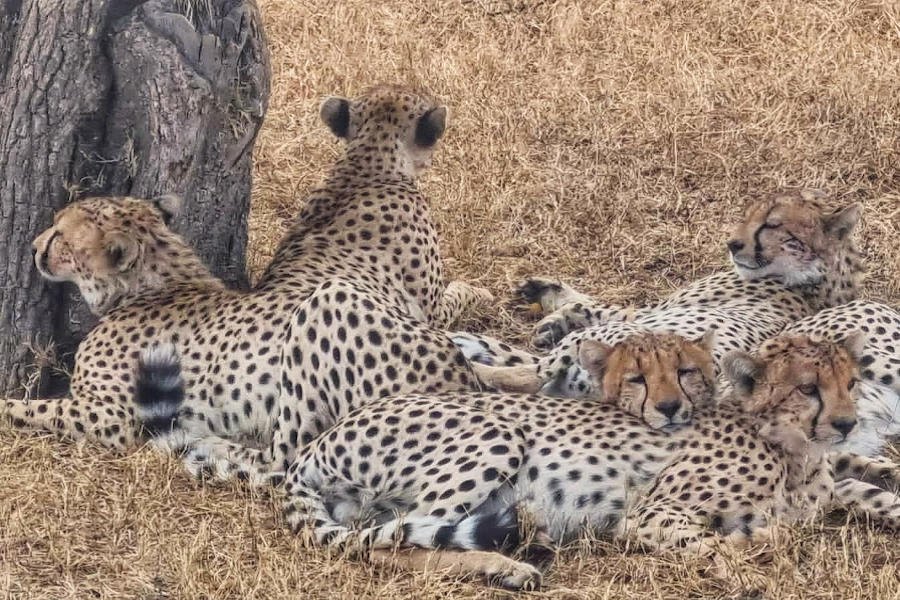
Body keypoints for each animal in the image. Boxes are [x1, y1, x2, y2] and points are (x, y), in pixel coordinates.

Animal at [3, 85, 488, 473]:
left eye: (59, 235)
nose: (33, 246)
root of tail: (461, 382)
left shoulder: (111, 417)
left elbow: (28, 409)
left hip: (326, 313)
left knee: (285, 457)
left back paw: (205, 447)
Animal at [274, 332, 900, 589]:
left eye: (850, 383)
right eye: (808, 389)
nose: (847, 423)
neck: (790, 450)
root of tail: (314, 444)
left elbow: (864, 493)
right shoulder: (650, 515)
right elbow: (717, 544)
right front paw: (749, 566)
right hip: (496, 435)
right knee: (391, 545)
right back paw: (508, 568)